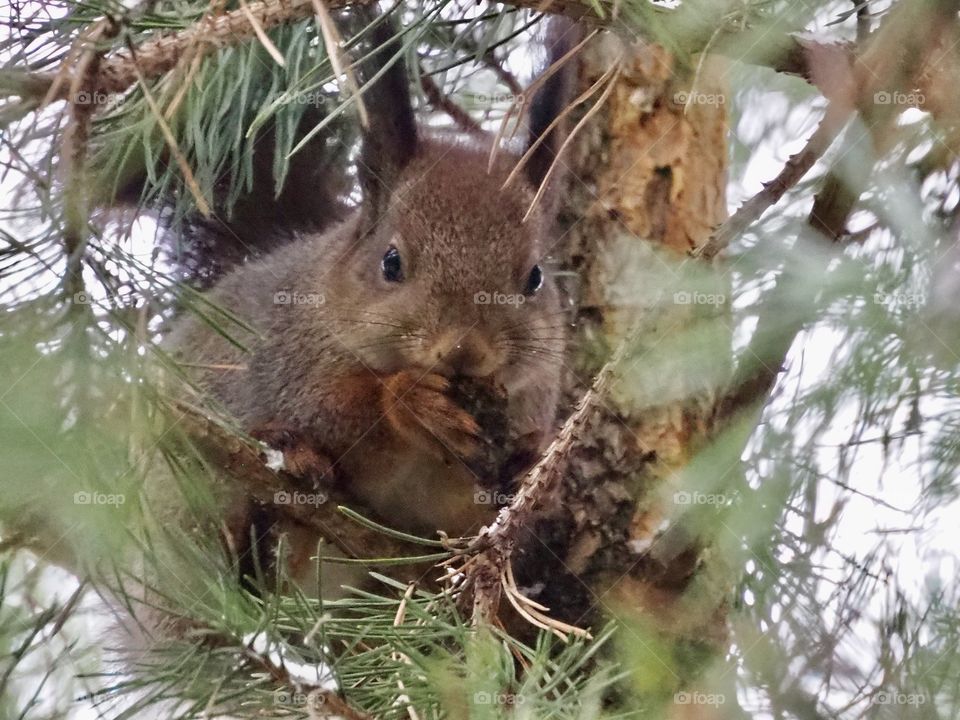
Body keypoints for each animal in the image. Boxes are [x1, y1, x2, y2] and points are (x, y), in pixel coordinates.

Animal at [162, 12, 575, 592]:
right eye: (391, 262)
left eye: (535, 277)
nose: (464, 350)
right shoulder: (291, 363)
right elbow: (343, 414)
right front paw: (412, 403)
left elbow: (477, 514)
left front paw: (530, 461)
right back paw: (288, 462)